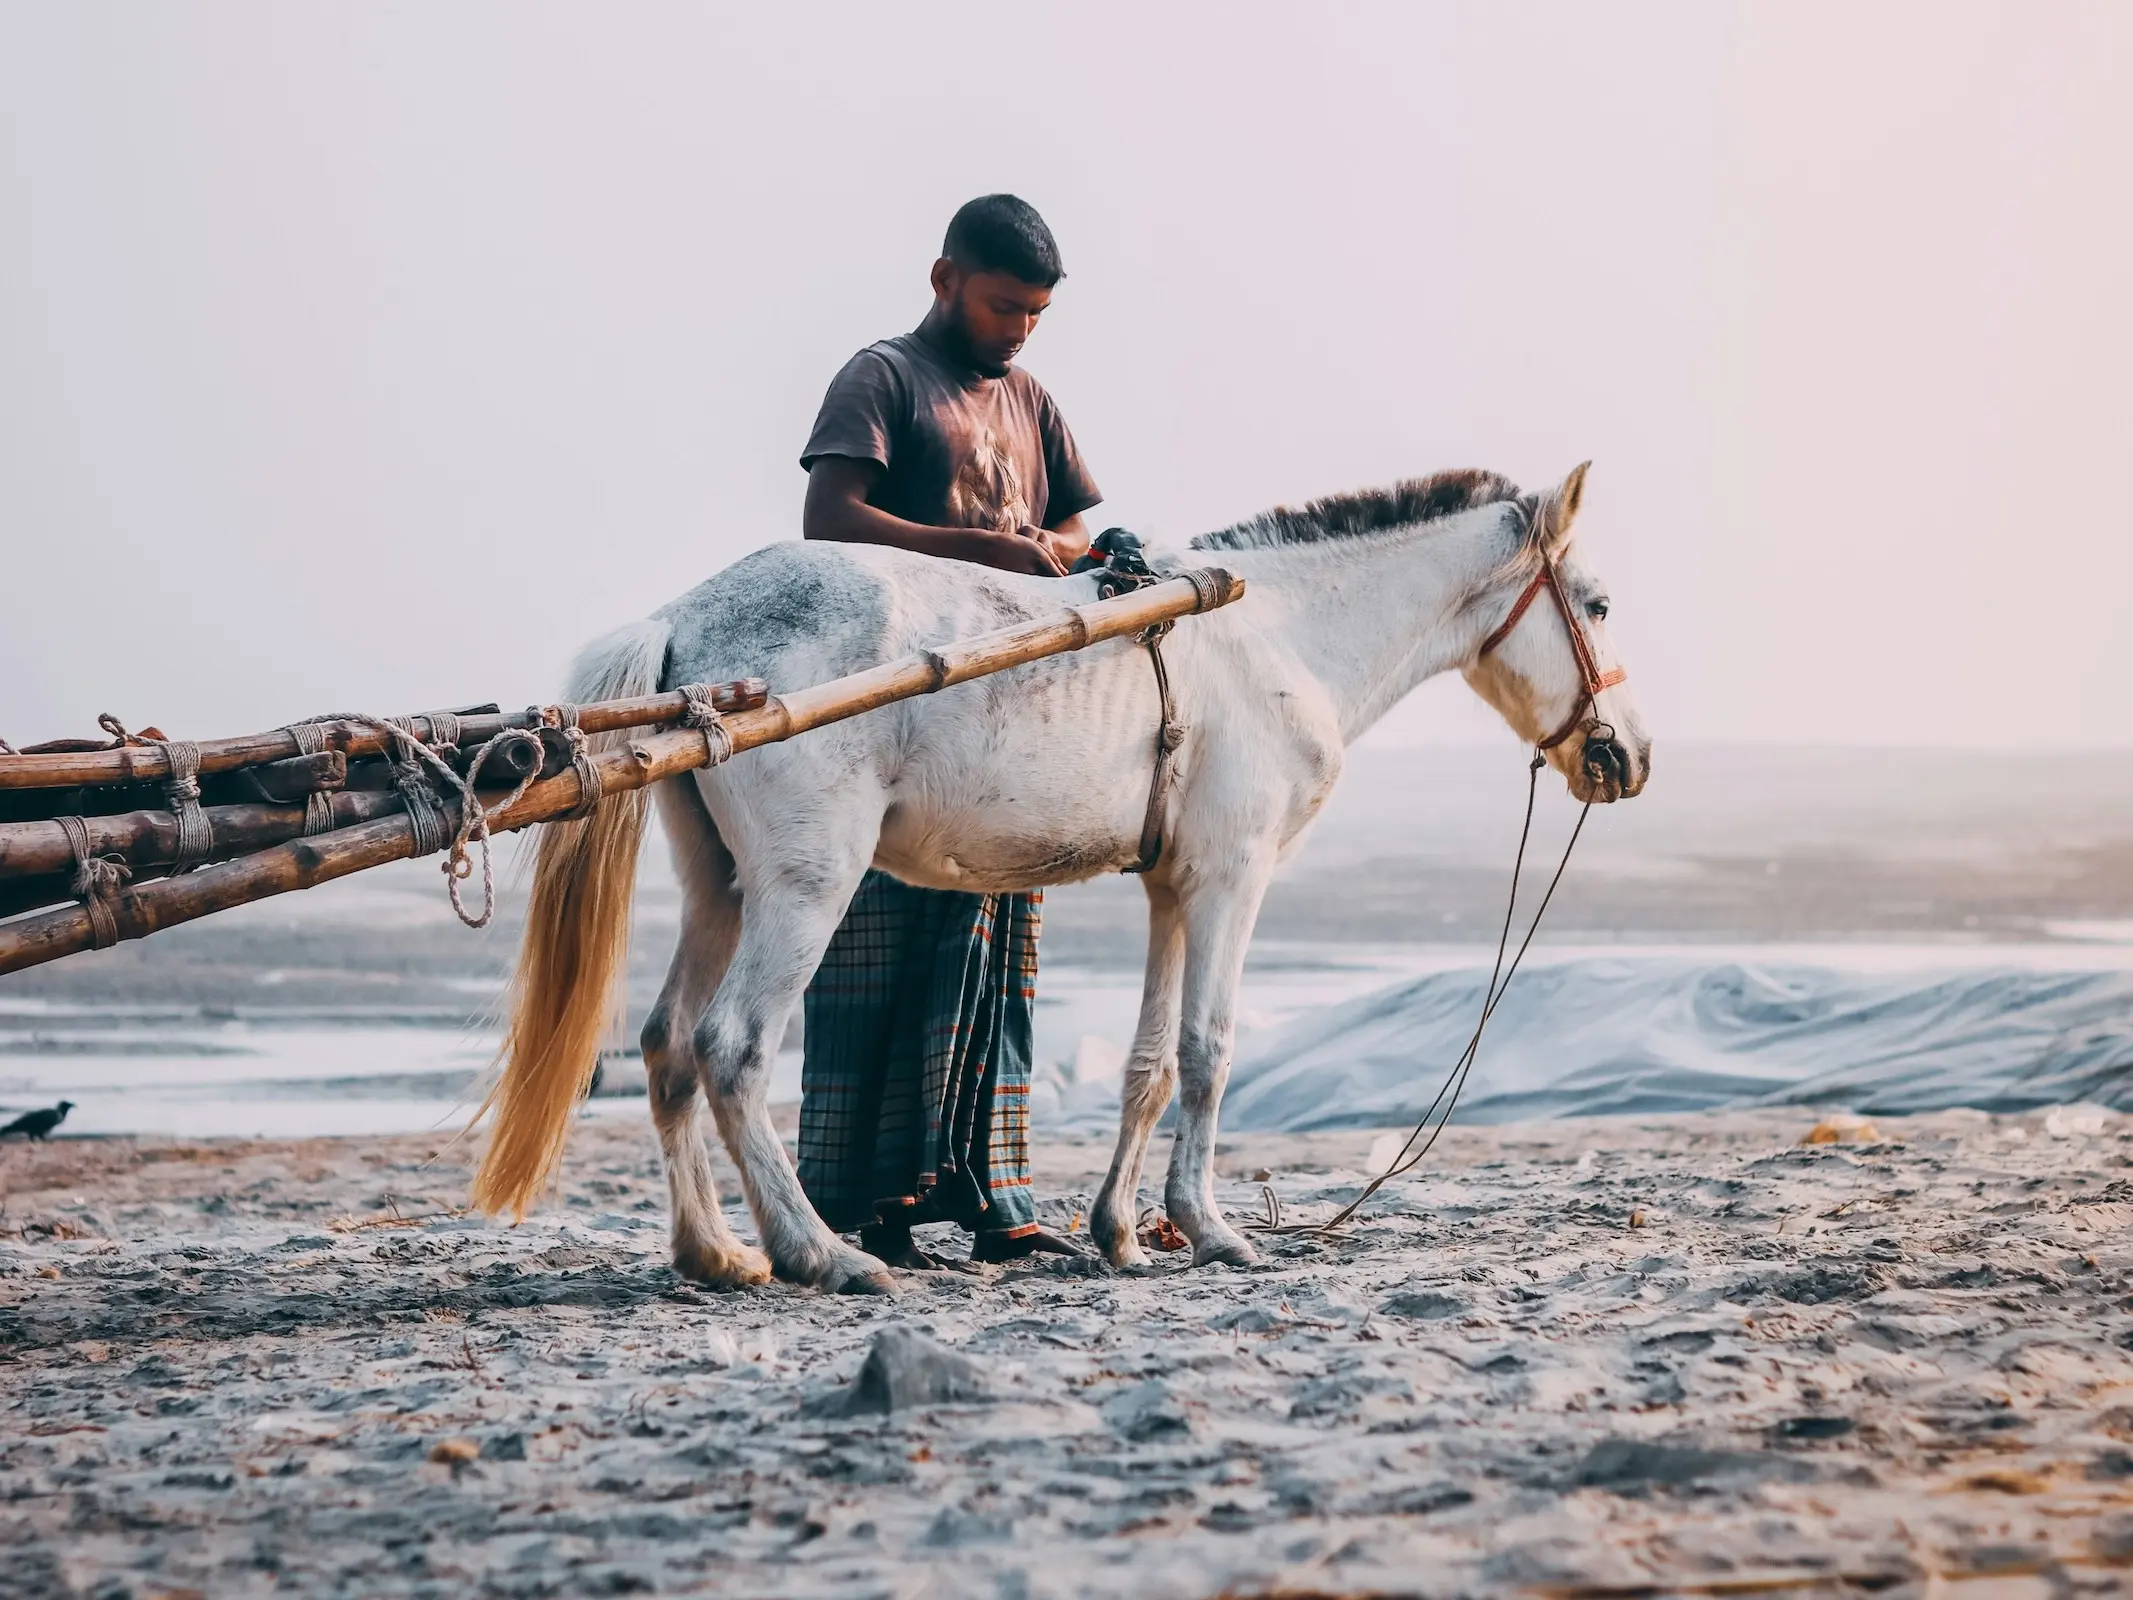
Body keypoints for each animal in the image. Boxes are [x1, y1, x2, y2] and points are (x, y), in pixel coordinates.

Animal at [479, 460, 1646, 1288]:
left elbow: (1149, 1065)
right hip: (806, 886)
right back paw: (823, 1252)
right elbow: (1209, 1052)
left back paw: (717, 1254)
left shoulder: (1173, 888)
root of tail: (683, 619)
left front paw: (1122, 1233)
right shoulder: (1231, 880)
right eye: (1594, 603)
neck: (1276, 637)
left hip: (720, 886)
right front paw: (1212, 1229)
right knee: (732, 1048)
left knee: (667, 1046)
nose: (1627, 756)